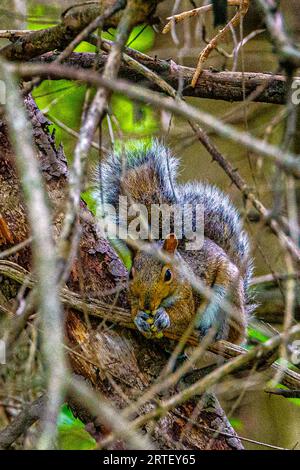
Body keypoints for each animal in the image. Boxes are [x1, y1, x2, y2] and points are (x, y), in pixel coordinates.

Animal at [96, 140, 253, 346]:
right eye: (130, 274)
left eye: (168, 274)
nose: (148, 305)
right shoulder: (133, 298)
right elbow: (133, 311)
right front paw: (139, 318)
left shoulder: (188, 297)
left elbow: (184, 315)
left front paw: (164, 316)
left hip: (228, 291)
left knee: (230, 331)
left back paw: (215, 333)